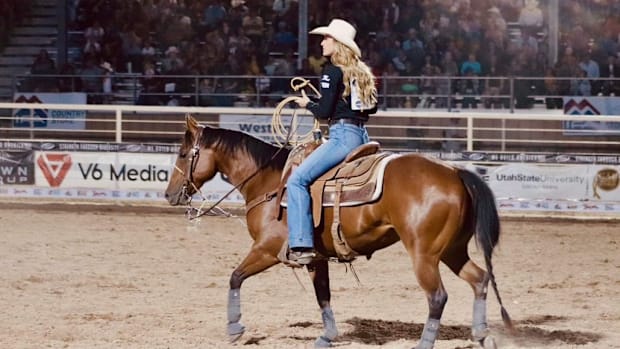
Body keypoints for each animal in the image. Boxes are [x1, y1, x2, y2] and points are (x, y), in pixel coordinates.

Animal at [166, 115, 512, 348]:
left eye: (183, 154)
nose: (170, 195)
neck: (269, 183)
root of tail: (454, 171)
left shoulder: (266, 250)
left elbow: (235, 277)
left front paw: (234, 327)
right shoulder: (315, 258)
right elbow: (323, 296)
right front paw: (327, 336)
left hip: (424, 254)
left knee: (438, 296)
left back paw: (426, 343)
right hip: (452, 250)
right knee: (480, 280)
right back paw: (482, 335)